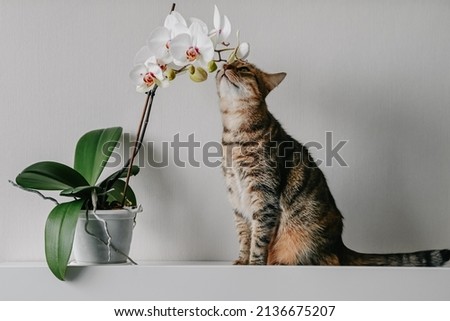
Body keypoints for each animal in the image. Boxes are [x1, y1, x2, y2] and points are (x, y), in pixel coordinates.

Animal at [216, 59, 448, 264]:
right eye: (228, 62)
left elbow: (259, 238)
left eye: (243, 68)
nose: (224, 66)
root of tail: (340, 244)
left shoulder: (264, 196)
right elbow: (244, 237)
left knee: (331, 260)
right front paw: (242, 261)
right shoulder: (236, 198)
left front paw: (254, 263)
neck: (234, 132)